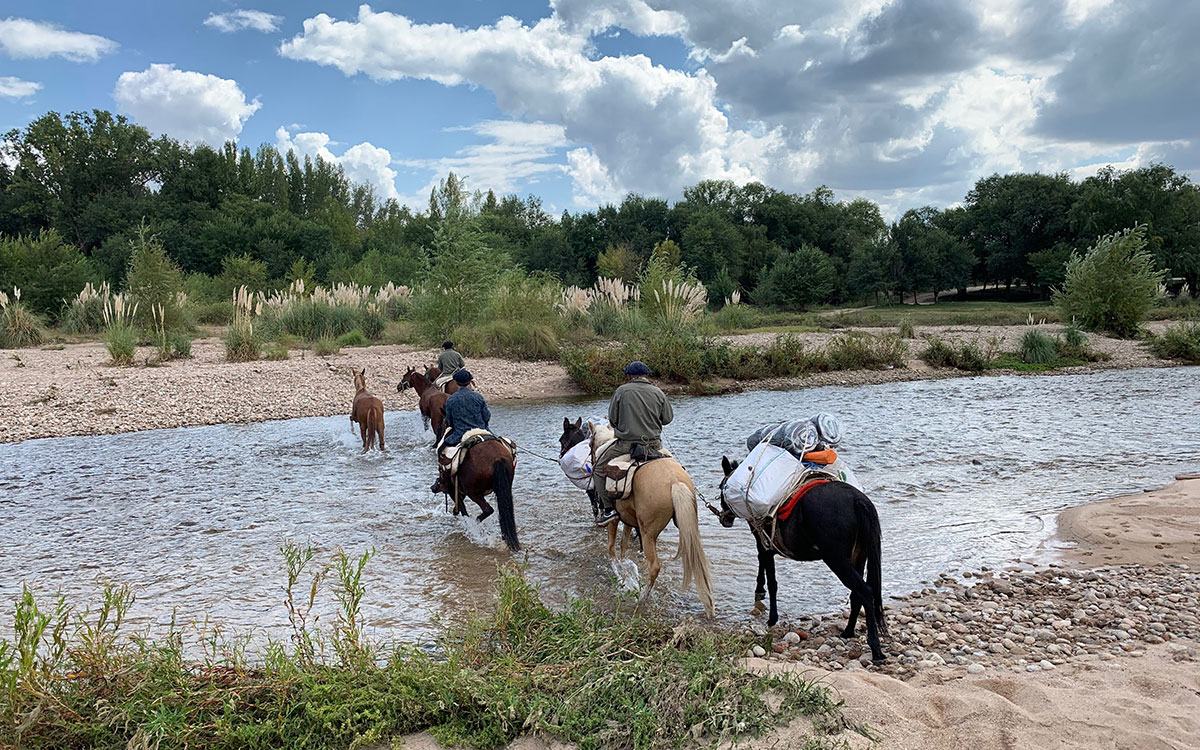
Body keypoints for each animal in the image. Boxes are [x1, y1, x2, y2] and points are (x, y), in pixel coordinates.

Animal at [588, 417, 710, 619]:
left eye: (590, 444)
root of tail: (674, 482)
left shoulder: (614, 520)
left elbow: (611, 548)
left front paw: (619, 573)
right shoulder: (629, 520)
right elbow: (623, 545)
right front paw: (626, 565)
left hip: (647, 534)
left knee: (654, 567)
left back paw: (642, 597)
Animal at [715, 456, 888, 662]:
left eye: (721, 487)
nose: (725, 519)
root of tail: (857, 500)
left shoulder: (764, 545)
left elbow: (771, 581)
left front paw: (771, 617)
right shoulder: (764, 545)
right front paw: (760, 592)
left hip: (837, 560)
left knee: (866, 591)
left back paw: (875, 649)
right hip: (859, 557)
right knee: (857, 594)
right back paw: (848, 632)